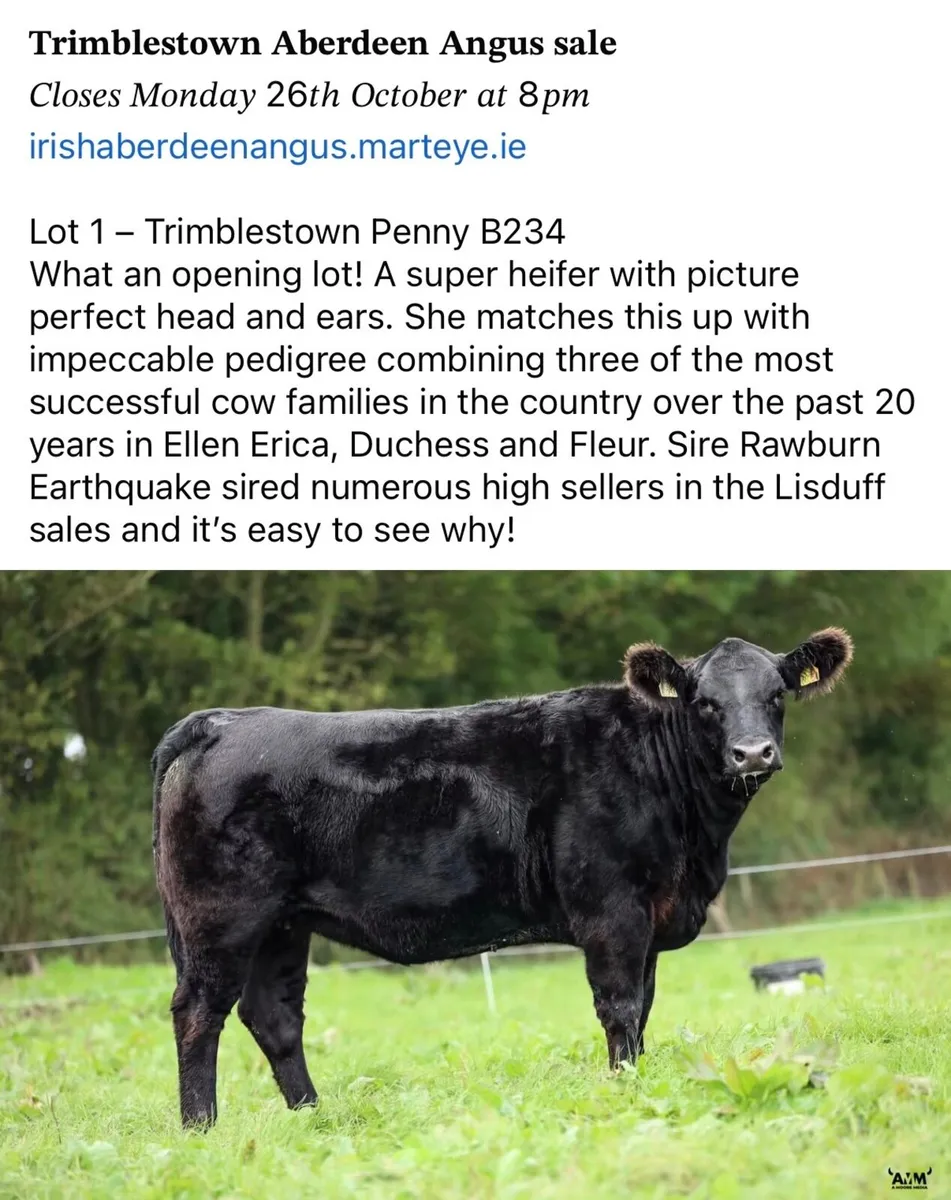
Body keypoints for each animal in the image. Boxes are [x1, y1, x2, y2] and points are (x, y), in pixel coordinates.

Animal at [152, 627, 852, 1127]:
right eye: (705, 703)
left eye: (776, 694)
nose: (752, 753)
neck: (696, 843)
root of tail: (217, 721)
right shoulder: (612, 907)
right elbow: (620, 1008)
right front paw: (625, 1090)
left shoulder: (651, 916)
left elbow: (645, 1008)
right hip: (222, 919)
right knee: (197, 1014)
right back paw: (200, 1129)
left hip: (282, 924)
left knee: (274, 1017)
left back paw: (311, 1116)